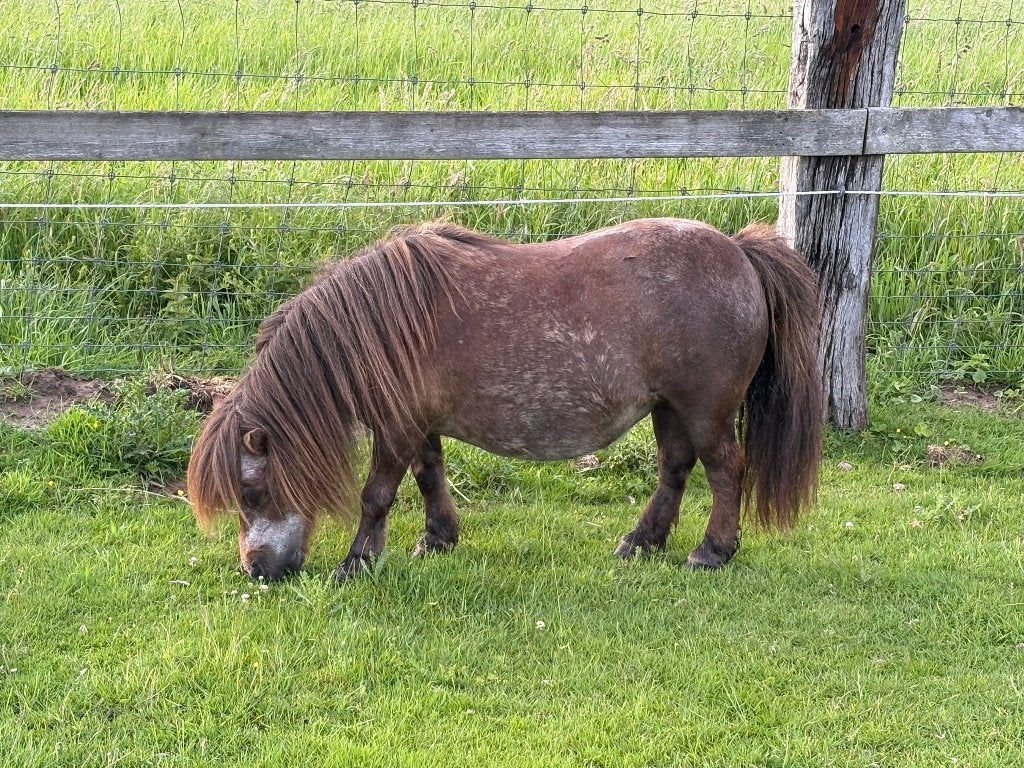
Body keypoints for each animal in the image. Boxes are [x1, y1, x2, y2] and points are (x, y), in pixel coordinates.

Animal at [186, 218, 823, 582]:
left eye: (252, 492)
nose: (256, 571)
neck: (380, 326)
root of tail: (738, 252)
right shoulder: (419, 425)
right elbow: (429, 476)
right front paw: (437, 539)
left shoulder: (395, 428)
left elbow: (376, 496)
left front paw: (357, 562)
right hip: (668, 408)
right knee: (675, 470)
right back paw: (642, 543)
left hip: (704, 410)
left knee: (725, 471)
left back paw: (712, 550)